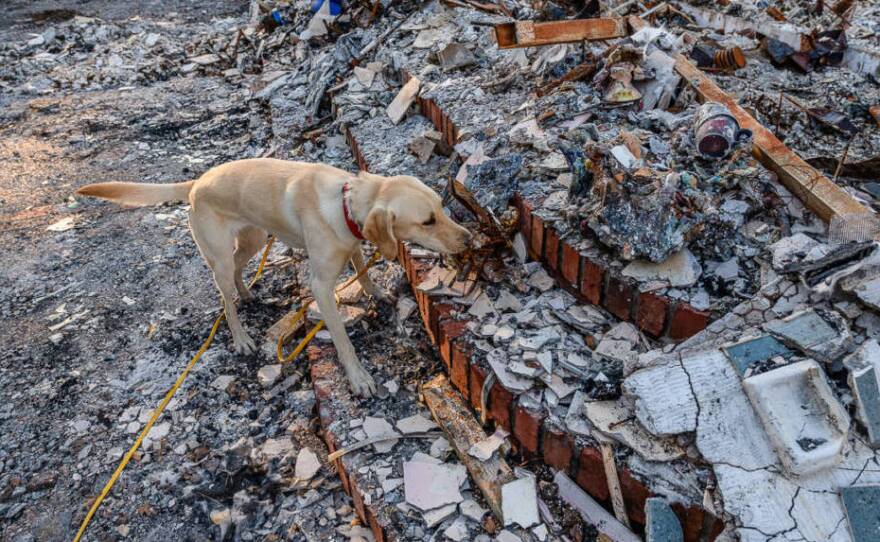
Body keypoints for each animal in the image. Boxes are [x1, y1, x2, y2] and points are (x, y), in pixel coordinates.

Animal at [77, 159, 474, 398]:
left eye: (441, 208)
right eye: (427, 221)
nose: (468, 238)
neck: (346, 204)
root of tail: (197, 181)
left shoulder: (353, 244)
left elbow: (362, 269)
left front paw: (376, 291)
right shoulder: (320, 287)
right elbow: (343, 341)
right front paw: (358, 377)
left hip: (252, 239)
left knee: (240, 269)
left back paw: (247, 294)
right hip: (219, 258)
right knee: (224, 298)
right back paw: (240, 336)